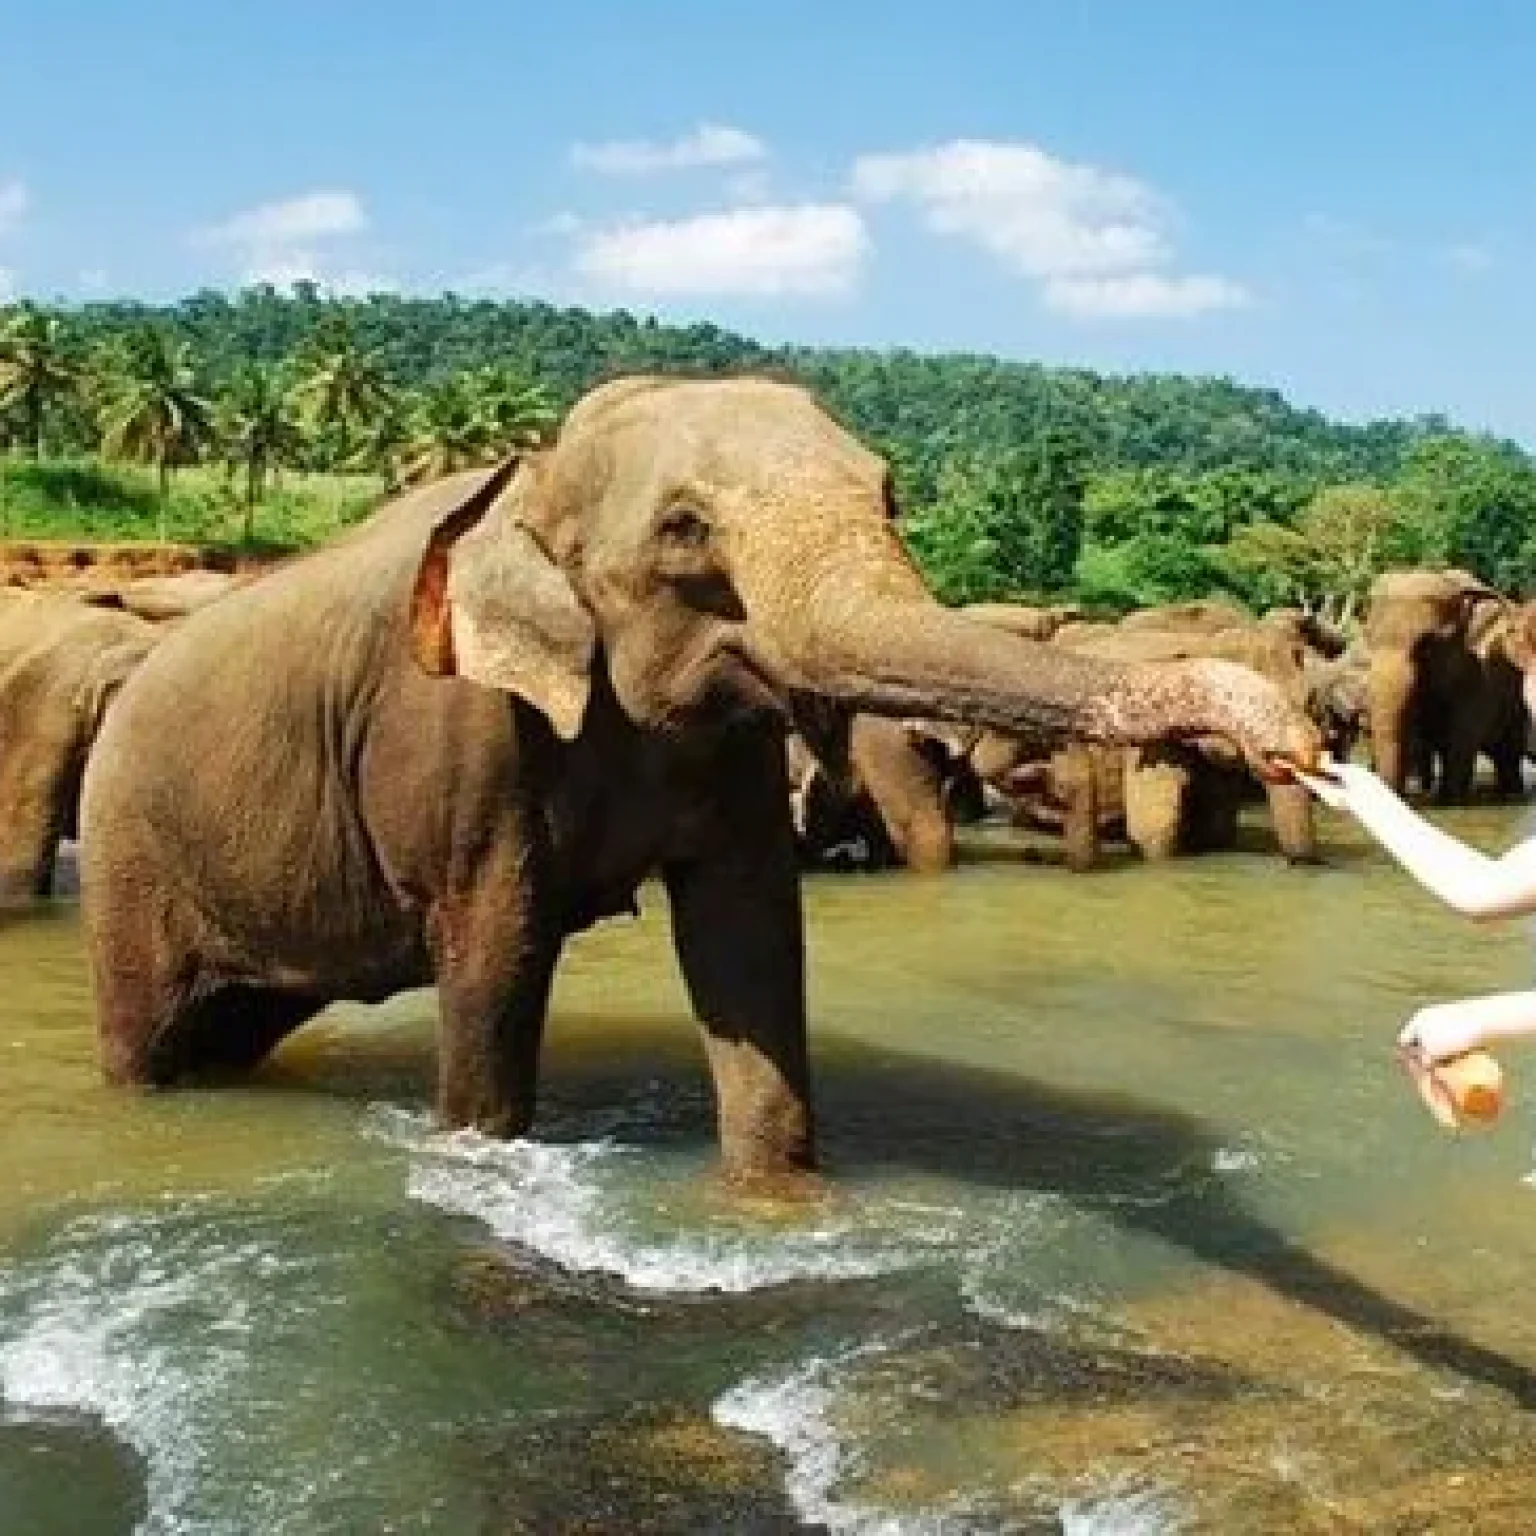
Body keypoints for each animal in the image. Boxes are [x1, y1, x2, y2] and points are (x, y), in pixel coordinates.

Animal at [80, 375, 1317, 1188]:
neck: (535, 470)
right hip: (129, 855)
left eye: (891, 497)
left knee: (231, 1028)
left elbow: (748, 939)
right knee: (151, 1042)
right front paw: (481, 1154)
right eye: (683, 529)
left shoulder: (732, 747)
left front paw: (774, 1197)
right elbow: (495, 954)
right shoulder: (463, 736)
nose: (1295, 732)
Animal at [1363, 569, 1527, 802]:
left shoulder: (1479, 682)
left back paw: (1511, 795)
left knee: (1508, 755)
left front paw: (1450, 800)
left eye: (1427, 644)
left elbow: (1460, 742)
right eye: (1368, 637)